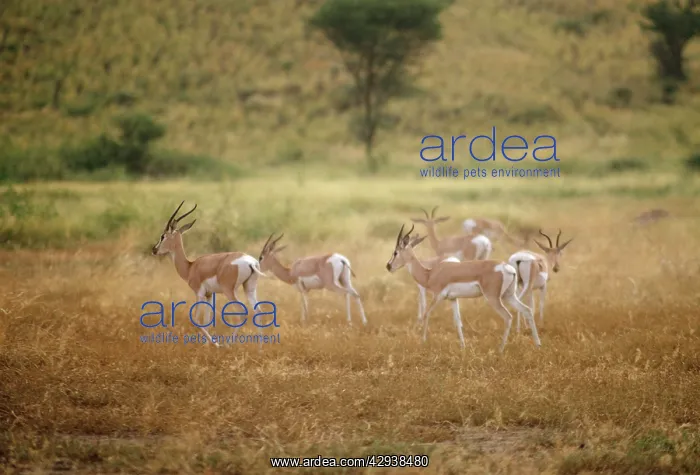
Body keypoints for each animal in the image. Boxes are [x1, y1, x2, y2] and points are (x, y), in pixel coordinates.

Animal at [151, 201, 266, 347]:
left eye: (163, 236)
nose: (154, 250)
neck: (191, 267)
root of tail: (251, 262)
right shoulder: (209, 295)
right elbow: (207, 320)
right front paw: (206, 345)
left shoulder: (199, 293)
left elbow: (195, 319)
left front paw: (215, 344)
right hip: (249, 288)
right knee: (258, 312)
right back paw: (260, 347)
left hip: (229, 291)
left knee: (242, 313)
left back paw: (228, 344)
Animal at [386, 224, 540, 352]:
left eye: (395, 252)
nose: (388, 266)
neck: (430, 274)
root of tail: (508, 268)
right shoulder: (453, 299)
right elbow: (458, 321)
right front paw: (463, 346)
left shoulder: (438, 296)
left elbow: (426, 314)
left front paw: (422, 342)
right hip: (509, 296)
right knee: (527, 310)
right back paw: (538, 344)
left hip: (493, 298)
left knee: (508, 317)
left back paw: (500, 349)